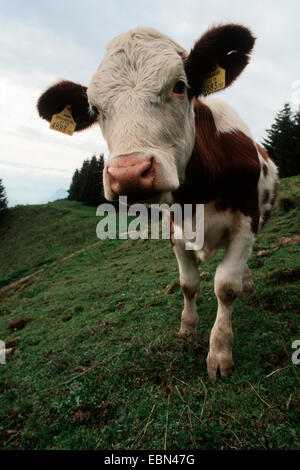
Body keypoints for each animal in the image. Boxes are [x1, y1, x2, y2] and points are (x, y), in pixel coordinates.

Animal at [37, 24, 278, 378]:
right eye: (96, 109)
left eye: (180, 86)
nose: (128, 174)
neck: (198, 195)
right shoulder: (175, 231)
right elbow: (188, 284)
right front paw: (188, 329)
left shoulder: (246, 221)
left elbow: (225, 286)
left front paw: (219, 352)